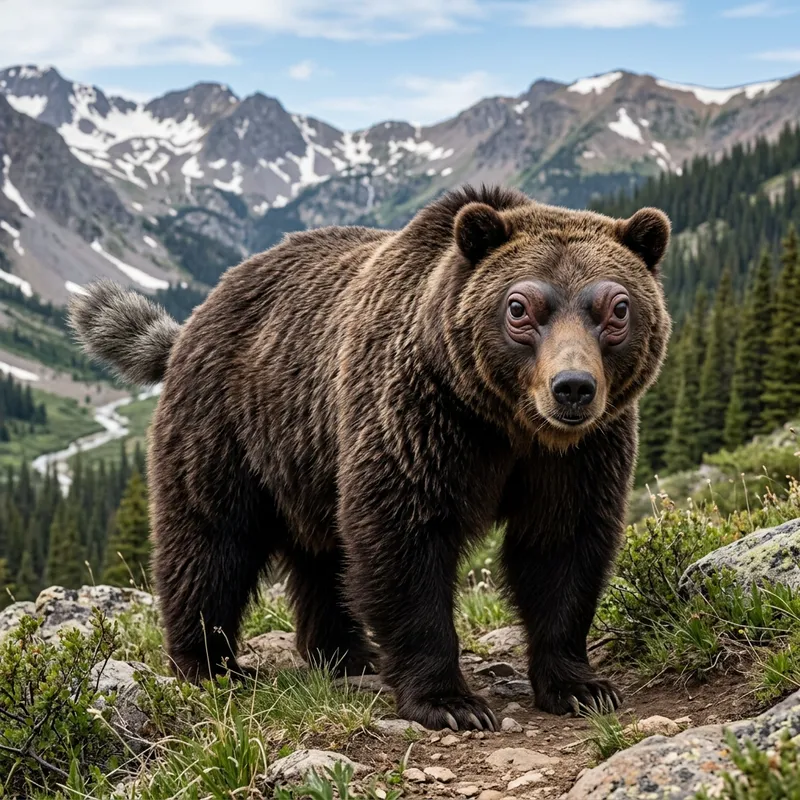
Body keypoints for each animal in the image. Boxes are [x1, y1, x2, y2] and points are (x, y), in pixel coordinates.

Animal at [69, 185, 671, 731]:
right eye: (520, 307)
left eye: (616, 308)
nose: (573, 387)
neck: (507, 423)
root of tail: (192, 320)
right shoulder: (419, 419)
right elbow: (403, 542)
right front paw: (451, 702)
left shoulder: (579, 455)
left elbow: (562, 547)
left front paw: (580, 686)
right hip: (229, 427)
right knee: (211, 540)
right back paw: (210, 664)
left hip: (308, 459)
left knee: (322, 557)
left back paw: (344, 653)